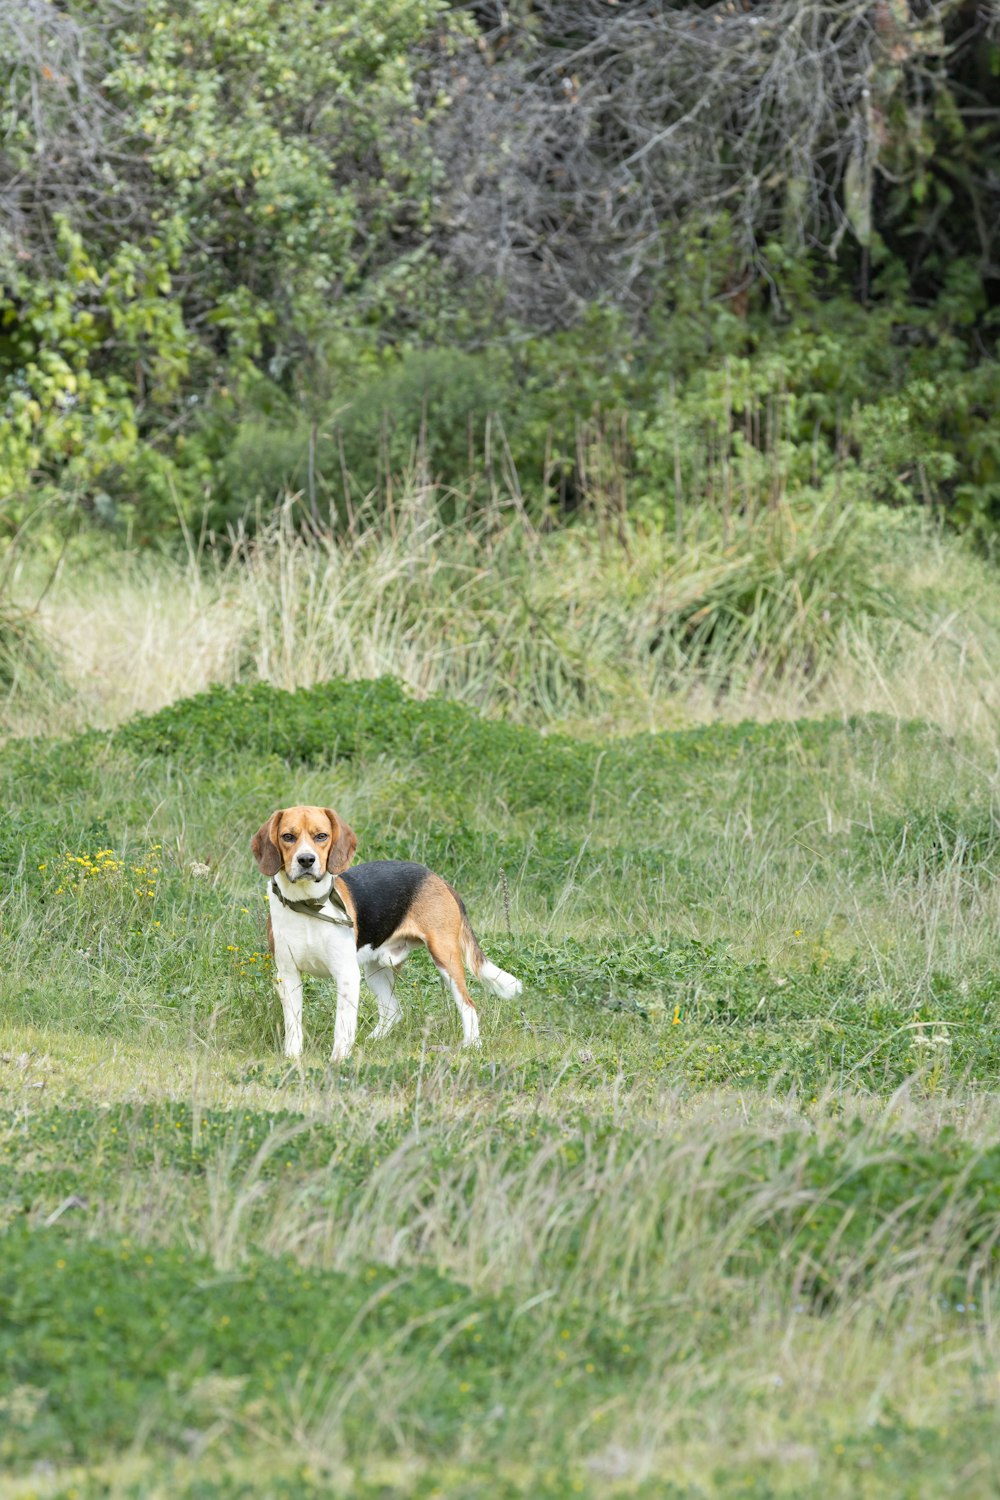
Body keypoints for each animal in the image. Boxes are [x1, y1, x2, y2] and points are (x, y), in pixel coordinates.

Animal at [250, 804, 524, 1062]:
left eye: (321, 836)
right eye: (288, 836)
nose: (306, 860)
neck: (308, 904)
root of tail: (437, 877)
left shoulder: (346, 975)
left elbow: (343, 1025)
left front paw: (339, 1058)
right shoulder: (288, 975)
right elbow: (293, 1024)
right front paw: (292, 1057)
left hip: (445, 958)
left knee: (468, 1005)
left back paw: (471, 1045)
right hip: (375, 969)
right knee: (393, 1011)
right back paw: (371, 1041)